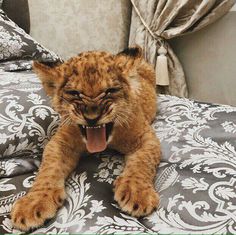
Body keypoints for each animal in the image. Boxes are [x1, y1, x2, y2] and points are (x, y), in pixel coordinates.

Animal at [12, 46, 161, 230]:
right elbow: (48, 169)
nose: (92, 117)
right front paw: (32, 204)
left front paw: (137, 193)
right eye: (74, 93)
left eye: (110, 91)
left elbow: (142, 162)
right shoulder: (59, 142)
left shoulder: (146, 137)